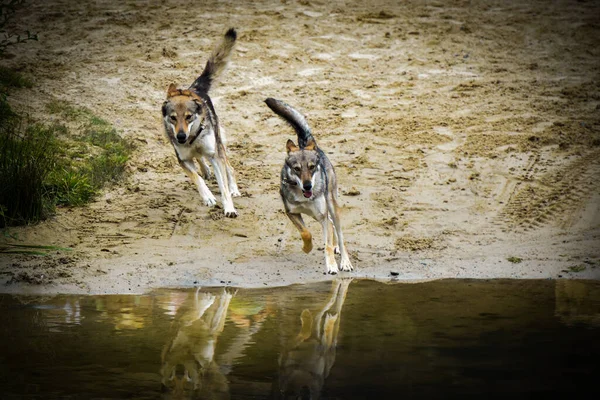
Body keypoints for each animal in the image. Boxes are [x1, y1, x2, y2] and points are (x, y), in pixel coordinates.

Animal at [164, 27, 241, 217]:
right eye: (173, 117)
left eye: (189, 116)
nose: (181, 137)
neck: (192, 138)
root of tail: (195, 89)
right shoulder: (183, 160)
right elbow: (196, 178)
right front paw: (208, 197)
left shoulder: (215, 156)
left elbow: (224, 188)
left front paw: (229, 208)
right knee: (200, 160)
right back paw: (206, 170)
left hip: (219, 145)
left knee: (230, 168)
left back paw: (234, 189)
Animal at [264, 99, 354, 276]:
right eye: (297, 169)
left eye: (312, 167)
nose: (308, 186)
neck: (303, 196)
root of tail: (309, 144)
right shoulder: (292, 213)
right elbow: (306, 233)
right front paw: (307, 248)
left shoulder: (321, 216)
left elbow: (327, 244)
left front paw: (332, 266)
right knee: (332, 227)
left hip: (331, 206)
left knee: (339, 233)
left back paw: (344, 261)